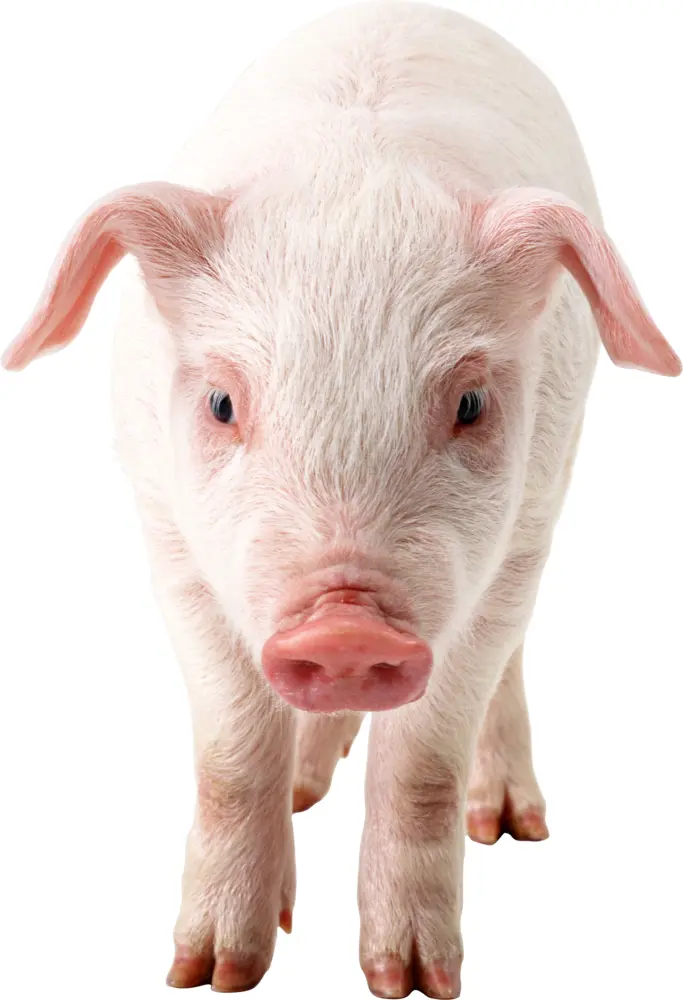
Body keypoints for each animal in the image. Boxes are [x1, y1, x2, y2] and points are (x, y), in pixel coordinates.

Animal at [3, 2, 680, 997]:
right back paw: (304, 790)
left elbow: (422, 762)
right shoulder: (167, 534)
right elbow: (230, 752)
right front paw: (211, 972)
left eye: (470, 404)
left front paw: (410, 982)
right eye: (221, 402)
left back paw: (510, 826)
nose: (346, 628)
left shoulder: (513, 539)